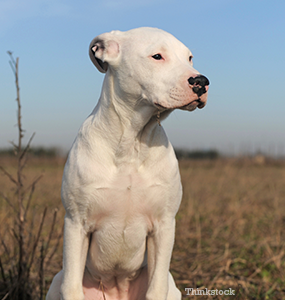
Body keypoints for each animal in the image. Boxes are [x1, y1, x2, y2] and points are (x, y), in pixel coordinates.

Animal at [46, 27, 206, 298]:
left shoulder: (164, 226)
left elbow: (156, 288)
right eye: (157, 56)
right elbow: (72, 287)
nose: (202, 82)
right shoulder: (76, 223)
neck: (132, 142)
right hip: (58, 278)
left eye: (190, 58)